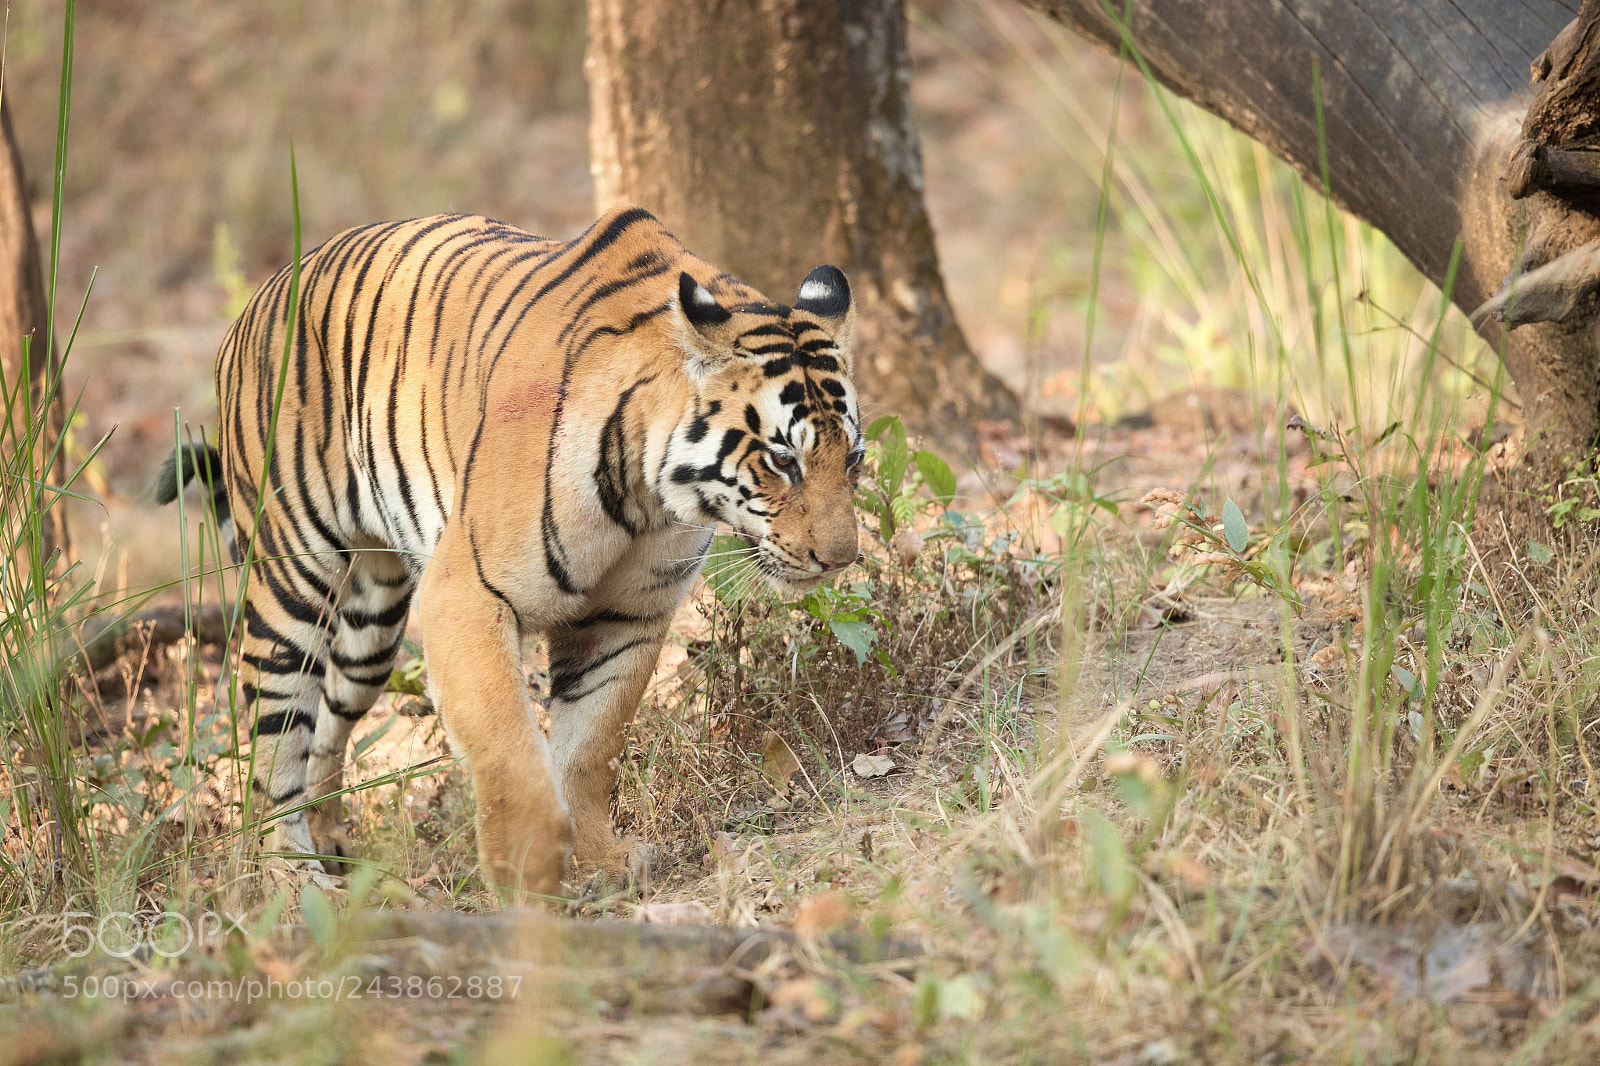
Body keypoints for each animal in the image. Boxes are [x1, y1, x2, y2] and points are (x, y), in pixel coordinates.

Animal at [157, 204, 863, 900]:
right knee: (273, 736)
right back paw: (289, 878)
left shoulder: (626, 616)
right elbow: (509, 745)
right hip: (292, 582)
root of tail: (260, 297)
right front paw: (528, 869)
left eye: (852, 458)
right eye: (783, 459)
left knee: (325, 725)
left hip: (373, 625)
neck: (650, 496)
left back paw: (332, 847)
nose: (841, 559)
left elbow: (590, 746)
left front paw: (600, 860)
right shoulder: (467, 594)